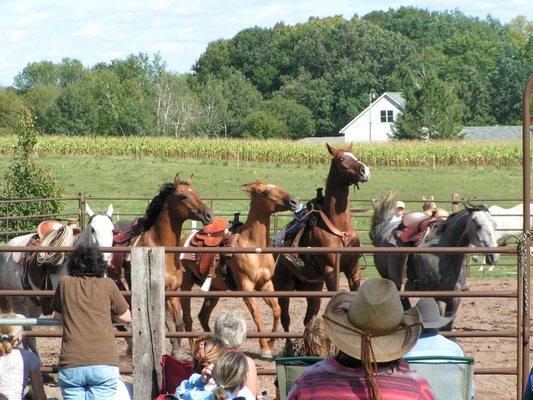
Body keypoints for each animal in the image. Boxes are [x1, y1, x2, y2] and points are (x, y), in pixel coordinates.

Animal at [180, 180, 300, 356]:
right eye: (266, 193)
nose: (294, 201)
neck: (253, 245)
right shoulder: (246, 287)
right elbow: (257, 315)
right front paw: (264, 347)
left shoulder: (266, 284)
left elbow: (277, 310)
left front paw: (270, 344)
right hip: (185, 286)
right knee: (187, 318)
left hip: (215, 289)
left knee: (203, 316)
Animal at [272, 143, 368, 354]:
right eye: (340, 159)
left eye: (355, 155)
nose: (364, 170)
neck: (338, 226)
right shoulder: (331, 271)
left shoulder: (353, 269)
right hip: (283, 286)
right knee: (285, 318)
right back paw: (289, 348)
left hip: (312, 286)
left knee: (309, 318)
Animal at [370, 193, 498, 328]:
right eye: (478, 226)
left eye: (495, 225)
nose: (494, 256)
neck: (444, 256)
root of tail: (382, 229)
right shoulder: (433, 296)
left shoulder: (455, 299)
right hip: (392, 281)